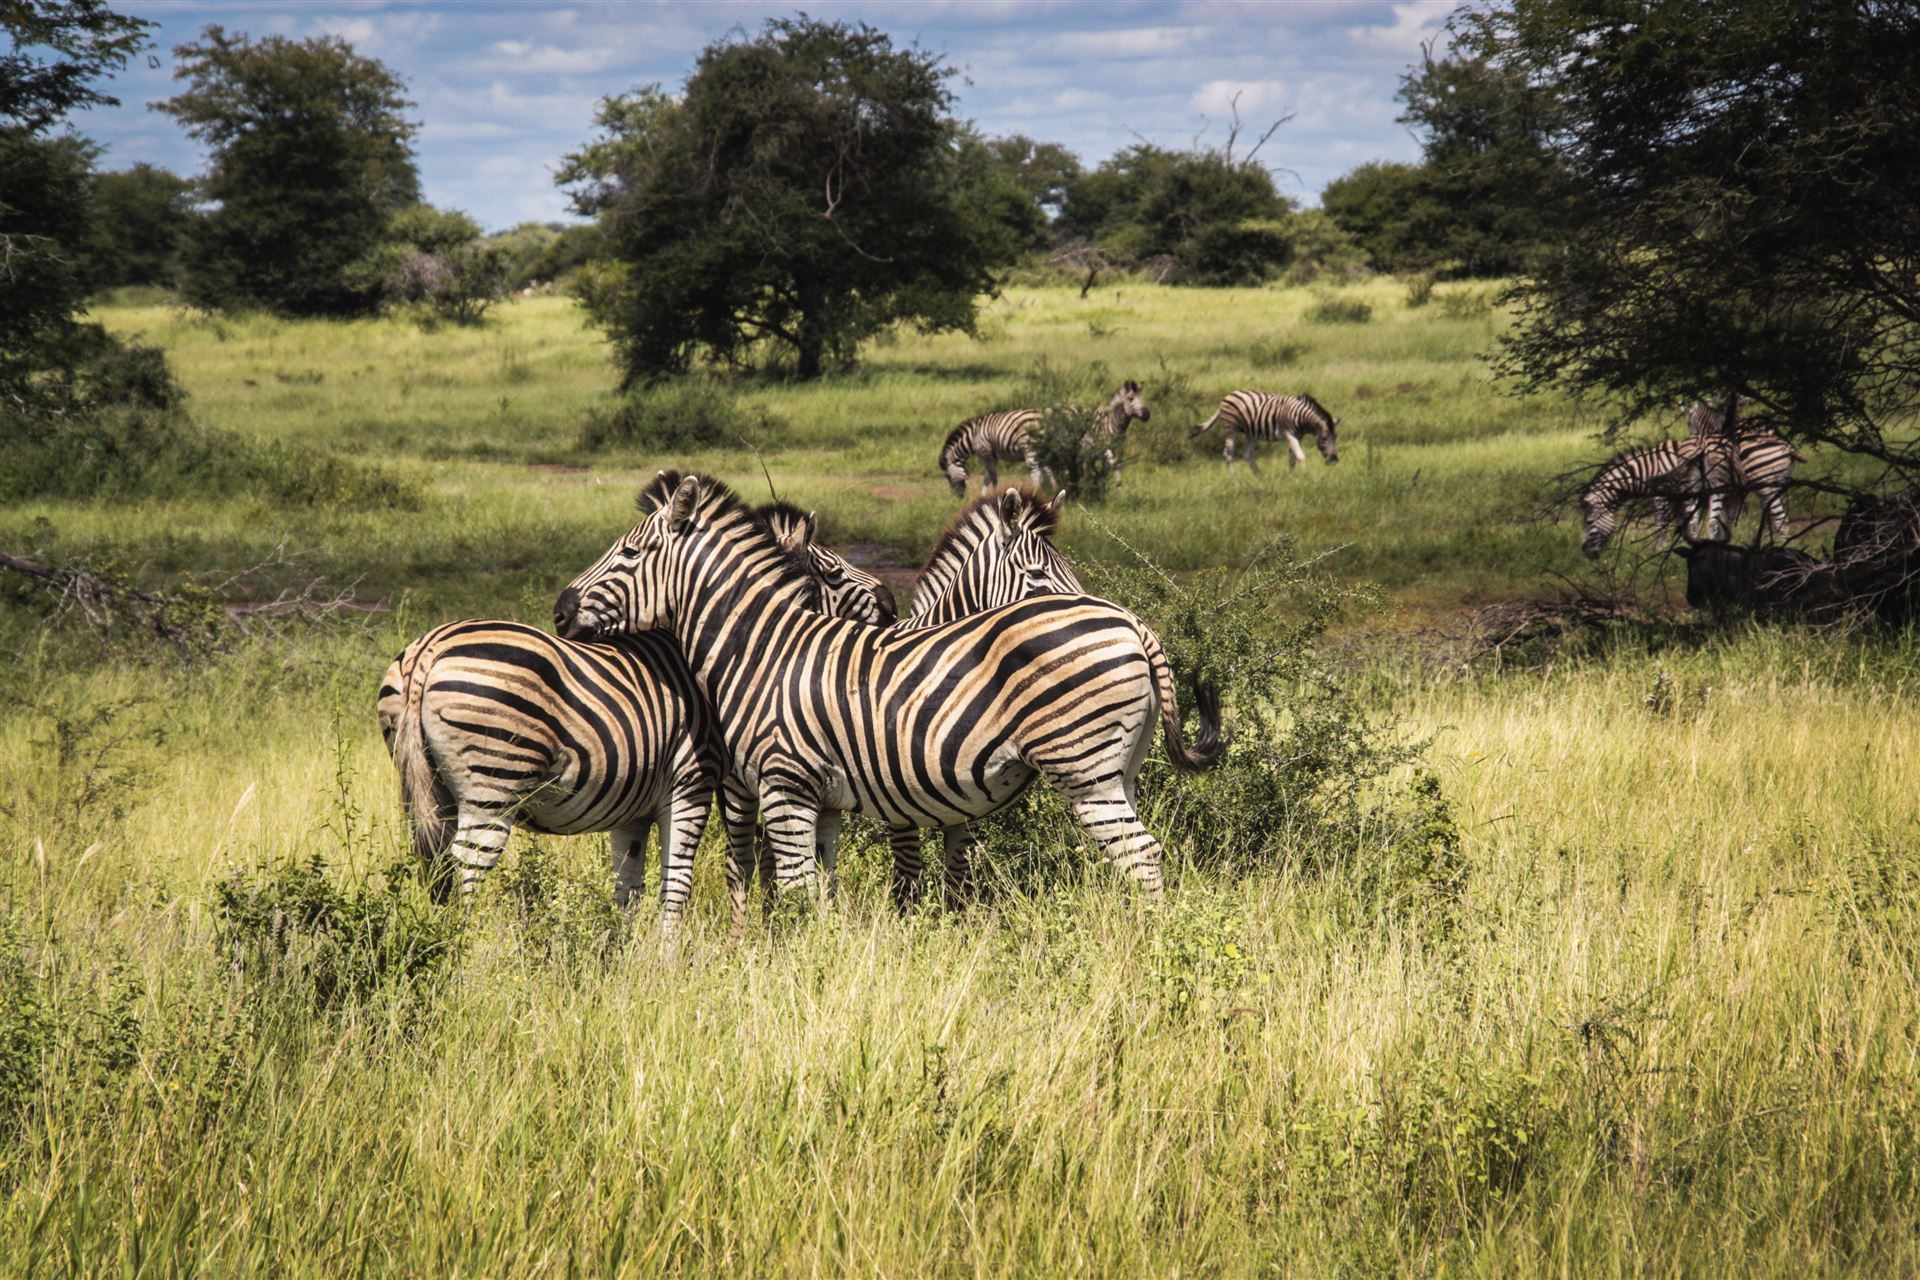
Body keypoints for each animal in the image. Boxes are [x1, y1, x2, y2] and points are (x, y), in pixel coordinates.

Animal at [377, 620, 718, 921]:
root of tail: (429, 650)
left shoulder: (634, 810)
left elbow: (628, 888)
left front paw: (624, 948)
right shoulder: (691, 783)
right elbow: (676, 886)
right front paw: (667, 951)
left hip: (431, 788)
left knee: (437, 863)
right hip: (493, 781)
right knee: (466, 864)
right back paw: (464, 940)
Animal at [554, 471, 1224, 906]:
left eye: (631, 552)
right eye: (1038, 573)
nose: (559, 611)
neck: (762, 647)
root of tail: (1133, 623)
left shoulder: (788, 784)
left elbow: (806, 893)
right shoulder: (828, 798)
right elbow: (826, 891)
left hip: (1083, 768)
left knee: (1142, 858)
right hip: (1118, 769)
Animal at [939, 382, 1151, 496]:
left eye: (948, 476)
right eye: (1131, 399)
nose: (957, 497)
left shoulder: (985, 452)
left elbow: (991, 477)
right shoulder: (990, 454)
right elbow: (988, 477)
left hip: (1031, 450)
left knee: (1038, 474)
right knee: (1049, 471)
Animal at [1191, 390, 1340, 470]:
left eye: (1336, 438)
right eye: (1324, 439)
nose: (1334, 460)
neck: (1300, 417)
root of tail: (1228, 396)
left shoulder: (1297, 436)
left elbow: (1292, 458)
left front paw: (1292, 476)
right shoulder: (1288, 434)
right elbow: (1300, 456)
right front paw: (1305, 476)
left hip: (1251, 432)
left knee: (1247, 454)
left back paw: (1260, 477)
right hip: (1230, 429)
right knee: (1228, 454)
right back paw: (1234, 479)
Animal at [1579, 430, 1801, 558]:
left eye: (1589, 522)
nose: (1587, 554)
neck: (1651, 470)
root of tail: (1785, 444)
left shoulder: (1663, 497)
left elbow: (1661, 523)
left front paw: (1658, 551)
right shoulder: (1678, 499)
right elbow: (1682, 524)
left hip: (1767, 484)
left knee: (1781, 519)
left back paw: (1783, 550)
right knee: (1773, 517)